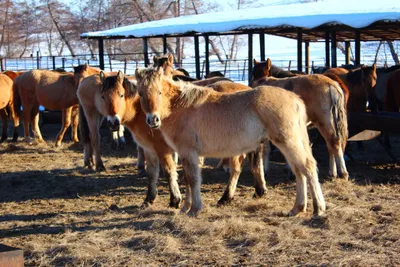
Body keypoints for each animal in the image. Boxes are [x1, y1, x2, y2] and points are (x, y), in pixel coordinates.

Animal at [77, 70, 183, 207]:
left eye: (121, 95)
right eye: (102, 97)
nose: (113, 122)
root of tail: (84, 80)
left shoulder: (158, 148)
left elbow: (165, 171)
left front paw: (172, 199)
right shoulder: (153, 147)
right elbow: (156, 172)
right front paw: (158, 199)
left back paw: (91, 163)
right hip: (93, 114)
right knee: (94, 137)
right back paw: (97, 165)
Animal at [136, 67, 326, 218]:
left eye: (159, 92)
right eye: (140, 93)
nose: (152, 120)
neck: (180, 107)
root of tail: (295, 99)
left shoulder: (188, 152)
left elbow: (192, 179)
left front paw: (194, 209)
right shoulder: (186, 154)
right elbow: (187, 179)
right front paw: (185, 208)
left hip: (288, 142)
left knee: (307, 167)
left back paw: (318, 209)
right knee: (299, 170)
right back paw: (297, 208)